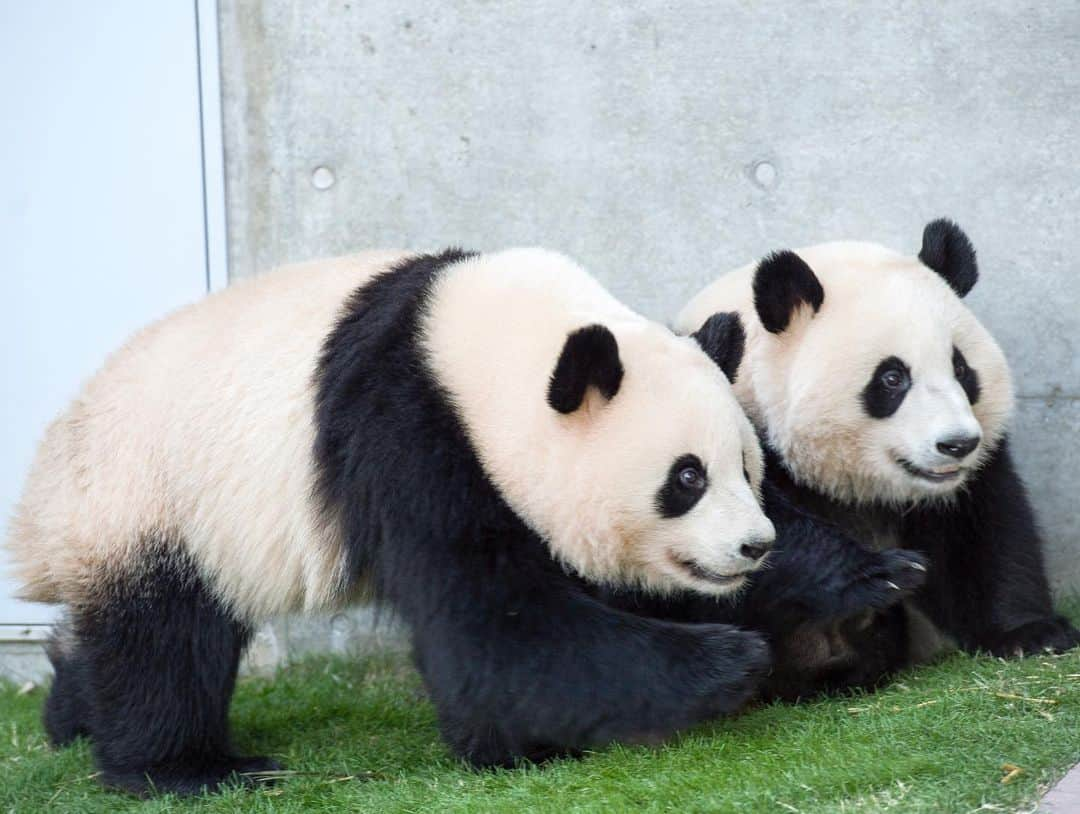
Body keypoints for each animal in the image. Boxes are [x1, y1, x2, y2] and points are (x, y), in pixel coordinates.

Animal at [4, 246, 777, 794]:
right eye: (687, 478)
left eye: (747, 467)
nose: (755, 545)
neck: (477, 351)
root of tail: (39, 500)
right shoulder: (405, 433)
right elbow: (489, 635)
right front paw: (731, 660)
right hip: (151, 500)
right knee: (163, 641)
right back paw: (187, 769)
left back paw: (70, 716)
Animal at [673, 219, 1080, 695]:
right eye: (892, 378)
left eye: (962, 369)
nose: (956, 444)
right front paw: (878, 574)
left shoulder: (971, 473)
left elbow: (981, 532)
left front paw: (1030, 633)